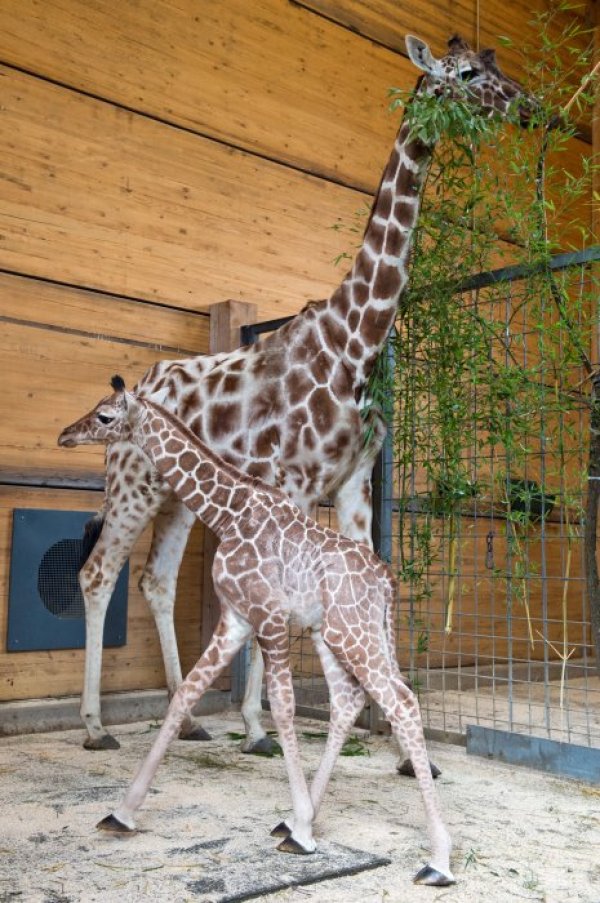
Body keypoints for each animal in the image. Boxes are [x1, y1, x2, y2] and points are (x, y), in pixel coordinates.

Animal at [59, 376, 454, 888]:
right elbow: (186, 692)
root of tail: (387, 582)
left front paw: (303, 823)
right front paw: (122, 813)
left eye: (105, 416)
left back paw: (438, 860)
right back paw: (295, 823)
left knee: (401, 701)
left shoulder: (267, 616)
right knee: (349, 701)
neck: (228, 511)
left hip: (355, 634)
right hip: (336, 636)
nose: (67, 433)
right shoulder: (235, 619)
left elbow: (282, 707)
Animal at [63, 33, 536, 756]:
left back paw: (188, 717)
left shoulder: (353, 484)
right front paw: (263, 726)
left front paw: (403, 751)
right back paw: (94, 727)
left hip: (174, 495)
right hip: (133, 482)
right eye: (463, 74)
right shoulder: (292, 484)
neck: (355, 342)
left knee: (156, 580)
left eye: (496, 64)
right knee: (98, 573)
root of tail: (135, 386)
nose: (529, 108)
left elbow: (377, 582)